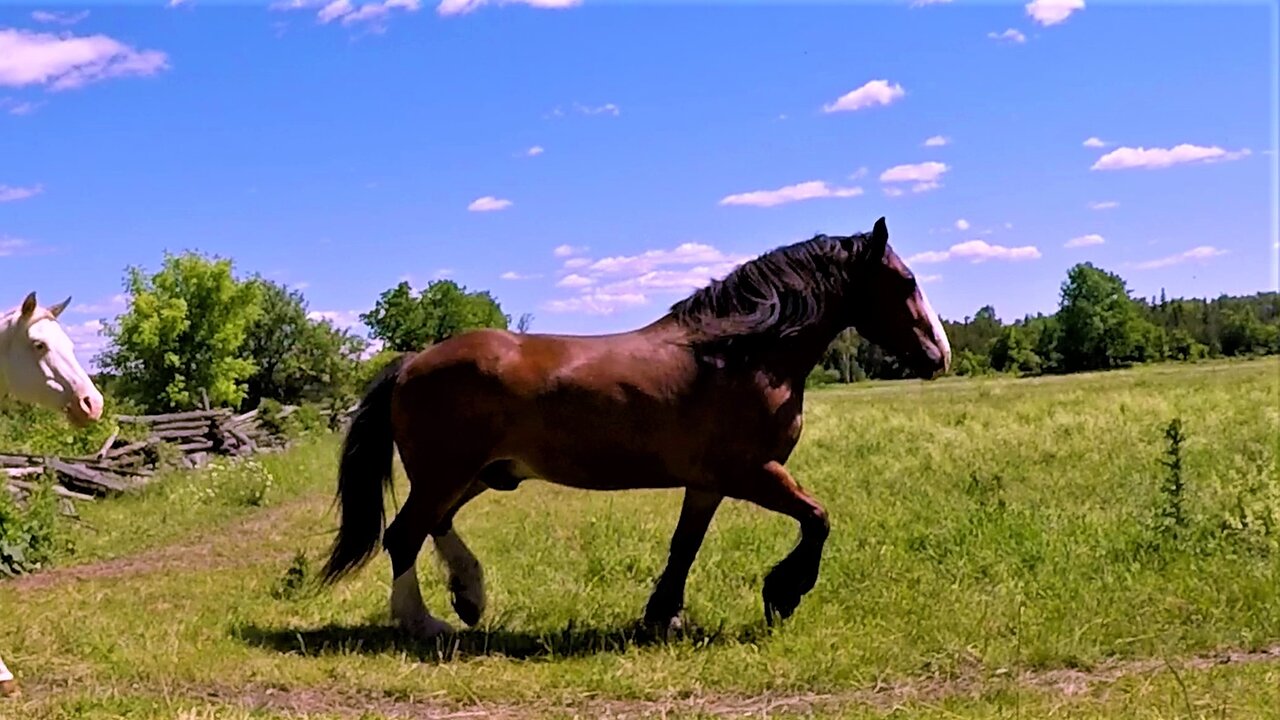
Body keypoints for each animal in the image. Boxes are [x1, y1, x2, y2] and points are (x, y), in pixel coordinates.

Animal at [320, 215, 952, 635]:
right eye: (904, 282)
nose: (938, 354)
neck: (737, 355)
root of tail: (410, 363)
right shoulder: (753, 472)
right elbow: (818, 519)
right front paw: (782, 595)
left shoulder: (708, 484)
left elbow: (684, 546)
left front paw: (662, 616)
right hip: (446, 472)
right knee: (403, 535)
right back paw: (424, 623)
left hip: (479, 473)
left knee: (434, 525)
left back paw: (469, 596)